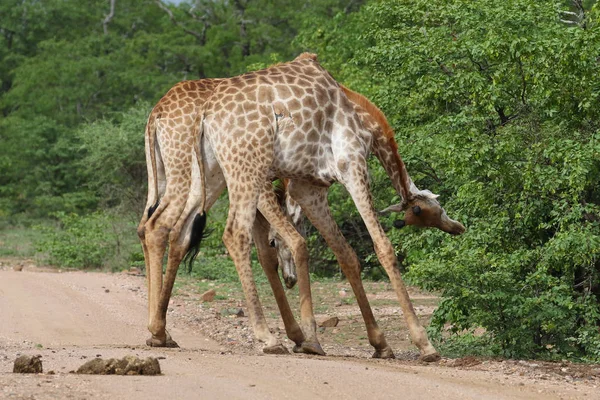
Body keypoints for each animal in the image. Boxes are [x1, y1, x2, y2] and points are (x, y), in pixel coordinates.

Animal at [270, 84, 466, 360]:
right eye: (433, 212)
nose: (458, 228)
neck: (364, 116)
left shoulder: (309, 188)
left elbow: (344, 256)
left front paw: (378, 343)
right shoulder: (343, 172)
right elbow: (382, 248)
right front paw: (424, 344)